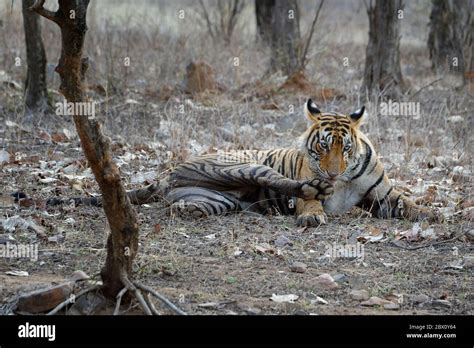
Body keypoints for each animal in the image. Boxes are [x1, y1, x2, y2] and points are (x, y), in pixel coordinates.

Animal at [41, 98, 436, 226]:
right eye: (321, 148)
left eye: (345, 148)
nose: (332, 173)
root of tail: (167, 172)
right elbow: (310, 204)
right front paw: (311, 215)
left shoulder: (382, 197)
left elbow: (408, 204)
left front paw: (435, 215)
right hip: (242, 166)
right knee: (283, 182)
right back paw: (306, 190)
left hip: (211, 200)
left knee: (184, 209)